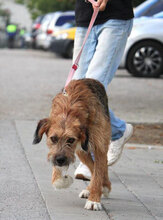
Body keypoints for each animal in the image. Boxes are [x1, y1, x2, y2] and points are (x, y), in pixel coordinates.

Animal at [32, 79, 111, 211]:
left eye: (71, 140)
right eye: (53, 138)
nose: (60, 160)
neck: (68, 109)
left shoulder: (99, 146)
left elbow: (98, 173)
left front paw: (94, 200)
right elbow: (57, 178)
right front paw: (63, 180)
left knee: (101, 166)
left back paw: (103, 186)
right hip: (81, 152)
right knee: (92, 166)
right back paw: (90, 189)